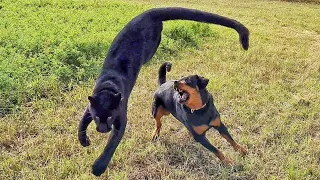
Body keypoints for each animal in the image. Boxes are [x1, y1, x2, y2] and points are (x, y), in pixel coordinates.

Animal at [77, 7, 250, 176]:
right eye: (97, 118)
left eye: (187, 80)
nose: (102, 130)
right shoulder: (199, 136)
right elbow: (82, 126)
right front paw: (87, 146)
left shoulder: (220, 125)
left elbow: (230, 139)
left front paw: (240, 150)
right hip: (157, 110)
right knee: (158, 123)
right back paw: (155, 134)